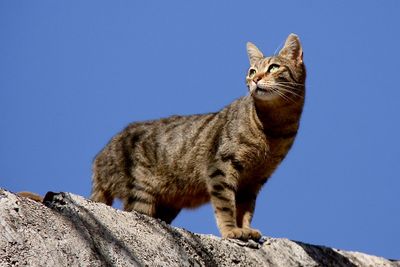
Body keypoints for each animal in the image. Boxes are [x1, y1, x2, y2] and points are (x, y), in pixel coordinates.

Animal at [90, 33, 304, 241]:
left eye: (273, 67)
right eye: (252, 71)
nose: (255, 79)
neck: (272, 129)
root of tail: (100, 157)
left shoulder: (254, 180)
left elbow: (245, 211)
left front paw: (245, 228)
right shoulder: (220, 167)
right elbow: (226, 205)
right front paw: (231, 231)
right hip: (140, 194)